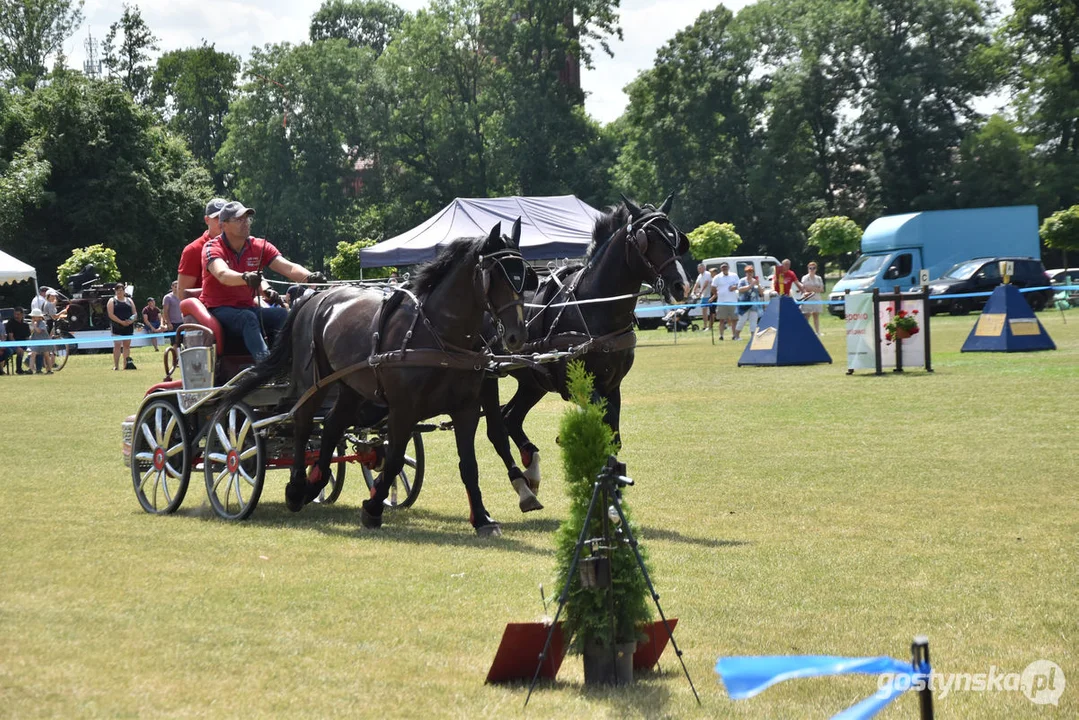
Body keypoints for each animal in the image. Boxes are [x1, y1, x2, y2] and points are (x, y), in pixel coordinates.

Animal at [224, 225, 530, 535]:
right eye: (497, 275)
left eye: (526, 274)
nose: (516, 335)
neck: (439, 336)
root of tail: (311, 298)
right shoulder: (403, 410)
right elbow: (393, 458)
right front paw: (372, 507)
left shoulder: (465, 408)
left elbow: (469, 464)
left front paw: (482, 518)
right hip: (313, 383)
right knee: (303, 423)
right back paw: (297, 488)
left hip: (351, 388)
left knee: (332, 425)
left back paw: (316, 481)